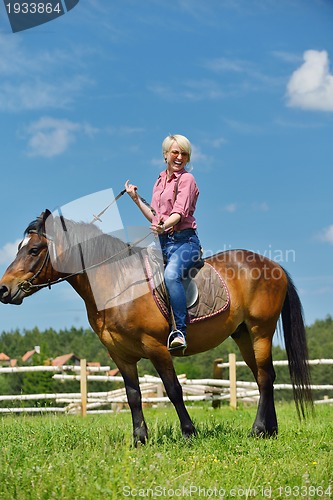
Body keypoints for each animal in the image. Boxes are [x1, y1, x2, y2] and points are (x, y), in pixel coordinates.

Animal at [0, 209, 312, 444]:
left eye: (35, 249)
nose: (4, 289)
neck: (117, 283)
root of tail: (275, 266)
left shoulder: (156, 348)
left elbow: (173, 389)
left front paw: (189, 433)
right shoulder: (121, 356)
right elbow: (133, 395)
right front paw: (140, 439)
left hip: (261, 330)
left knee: (265, 377)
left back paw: (259, 430)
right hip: (243, 334)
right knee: (263, 377)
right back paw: (269, 431)